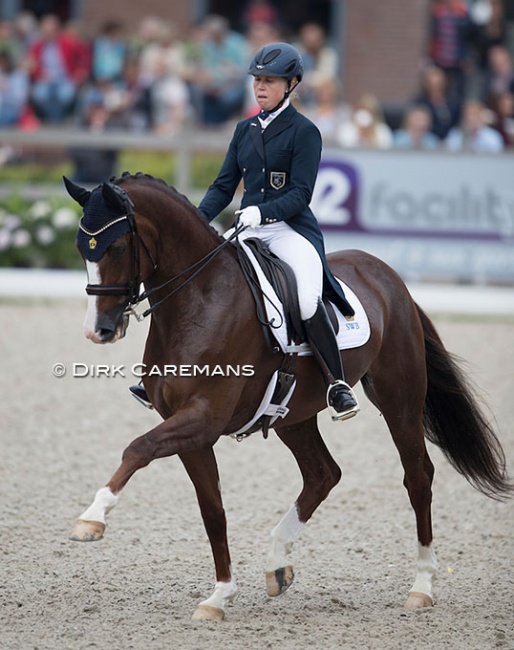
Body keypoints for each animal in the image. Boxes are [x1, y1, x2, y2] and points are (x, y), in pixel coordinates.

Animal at [64, 171, 512, 616]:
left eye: (117, 246)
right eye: (81, 248)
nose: (99, 330)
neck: (199, 300)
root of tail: (386, 274)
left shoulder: (203, 418)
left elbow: (137, 448)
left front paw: (92, 518)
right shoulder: (190, 431)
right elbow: (213, 511)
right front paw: (220, 596)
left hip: (400, 401)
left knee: (417, 477)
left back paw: (422, 587)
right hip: (293, 416)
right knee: (323, 474)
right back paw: (277, 564)